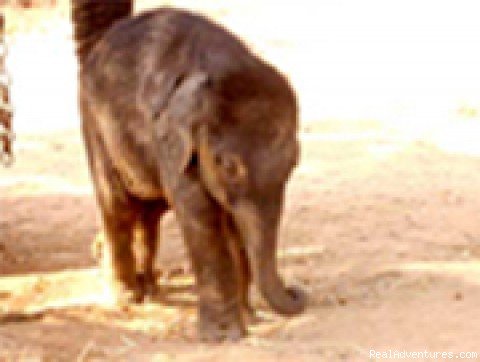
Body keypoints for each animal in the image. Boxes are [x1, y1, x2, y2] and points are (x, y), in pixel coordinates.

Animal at [71, 0, 306, 340]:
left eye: (294, 162)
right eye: (228, 166)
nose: (296, 291)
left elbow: (232, 222)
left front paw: (248, 319)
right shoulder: (170, 139)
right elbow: (201, 214)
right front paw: (224, 336)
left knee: (149, 213)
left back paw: (150, 289)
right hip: (94, 123)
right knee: (118, 205)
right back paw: (126, 298)